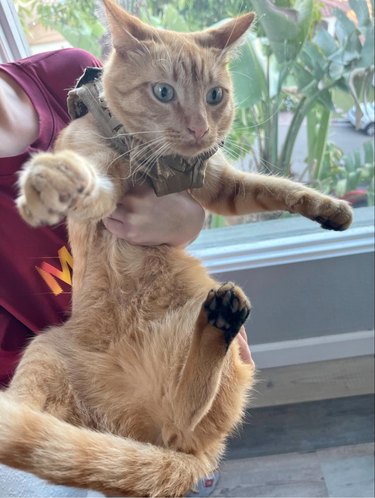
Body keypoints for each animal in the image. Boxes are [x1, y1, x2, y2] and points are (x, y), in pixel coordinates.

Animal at [0, 1, 352, 496]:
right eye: (164, 92)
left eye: (215, 95)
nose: (199, 128)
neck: (157, 162)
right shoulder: (102, 171)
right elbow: (84, 172)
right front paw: (49, 182)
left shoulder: (220, 185)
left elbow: (277, 188)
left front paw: (332, 210)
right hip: (43, 356)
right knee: (168, 422)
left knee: (183, 418)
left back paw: (221, 320)